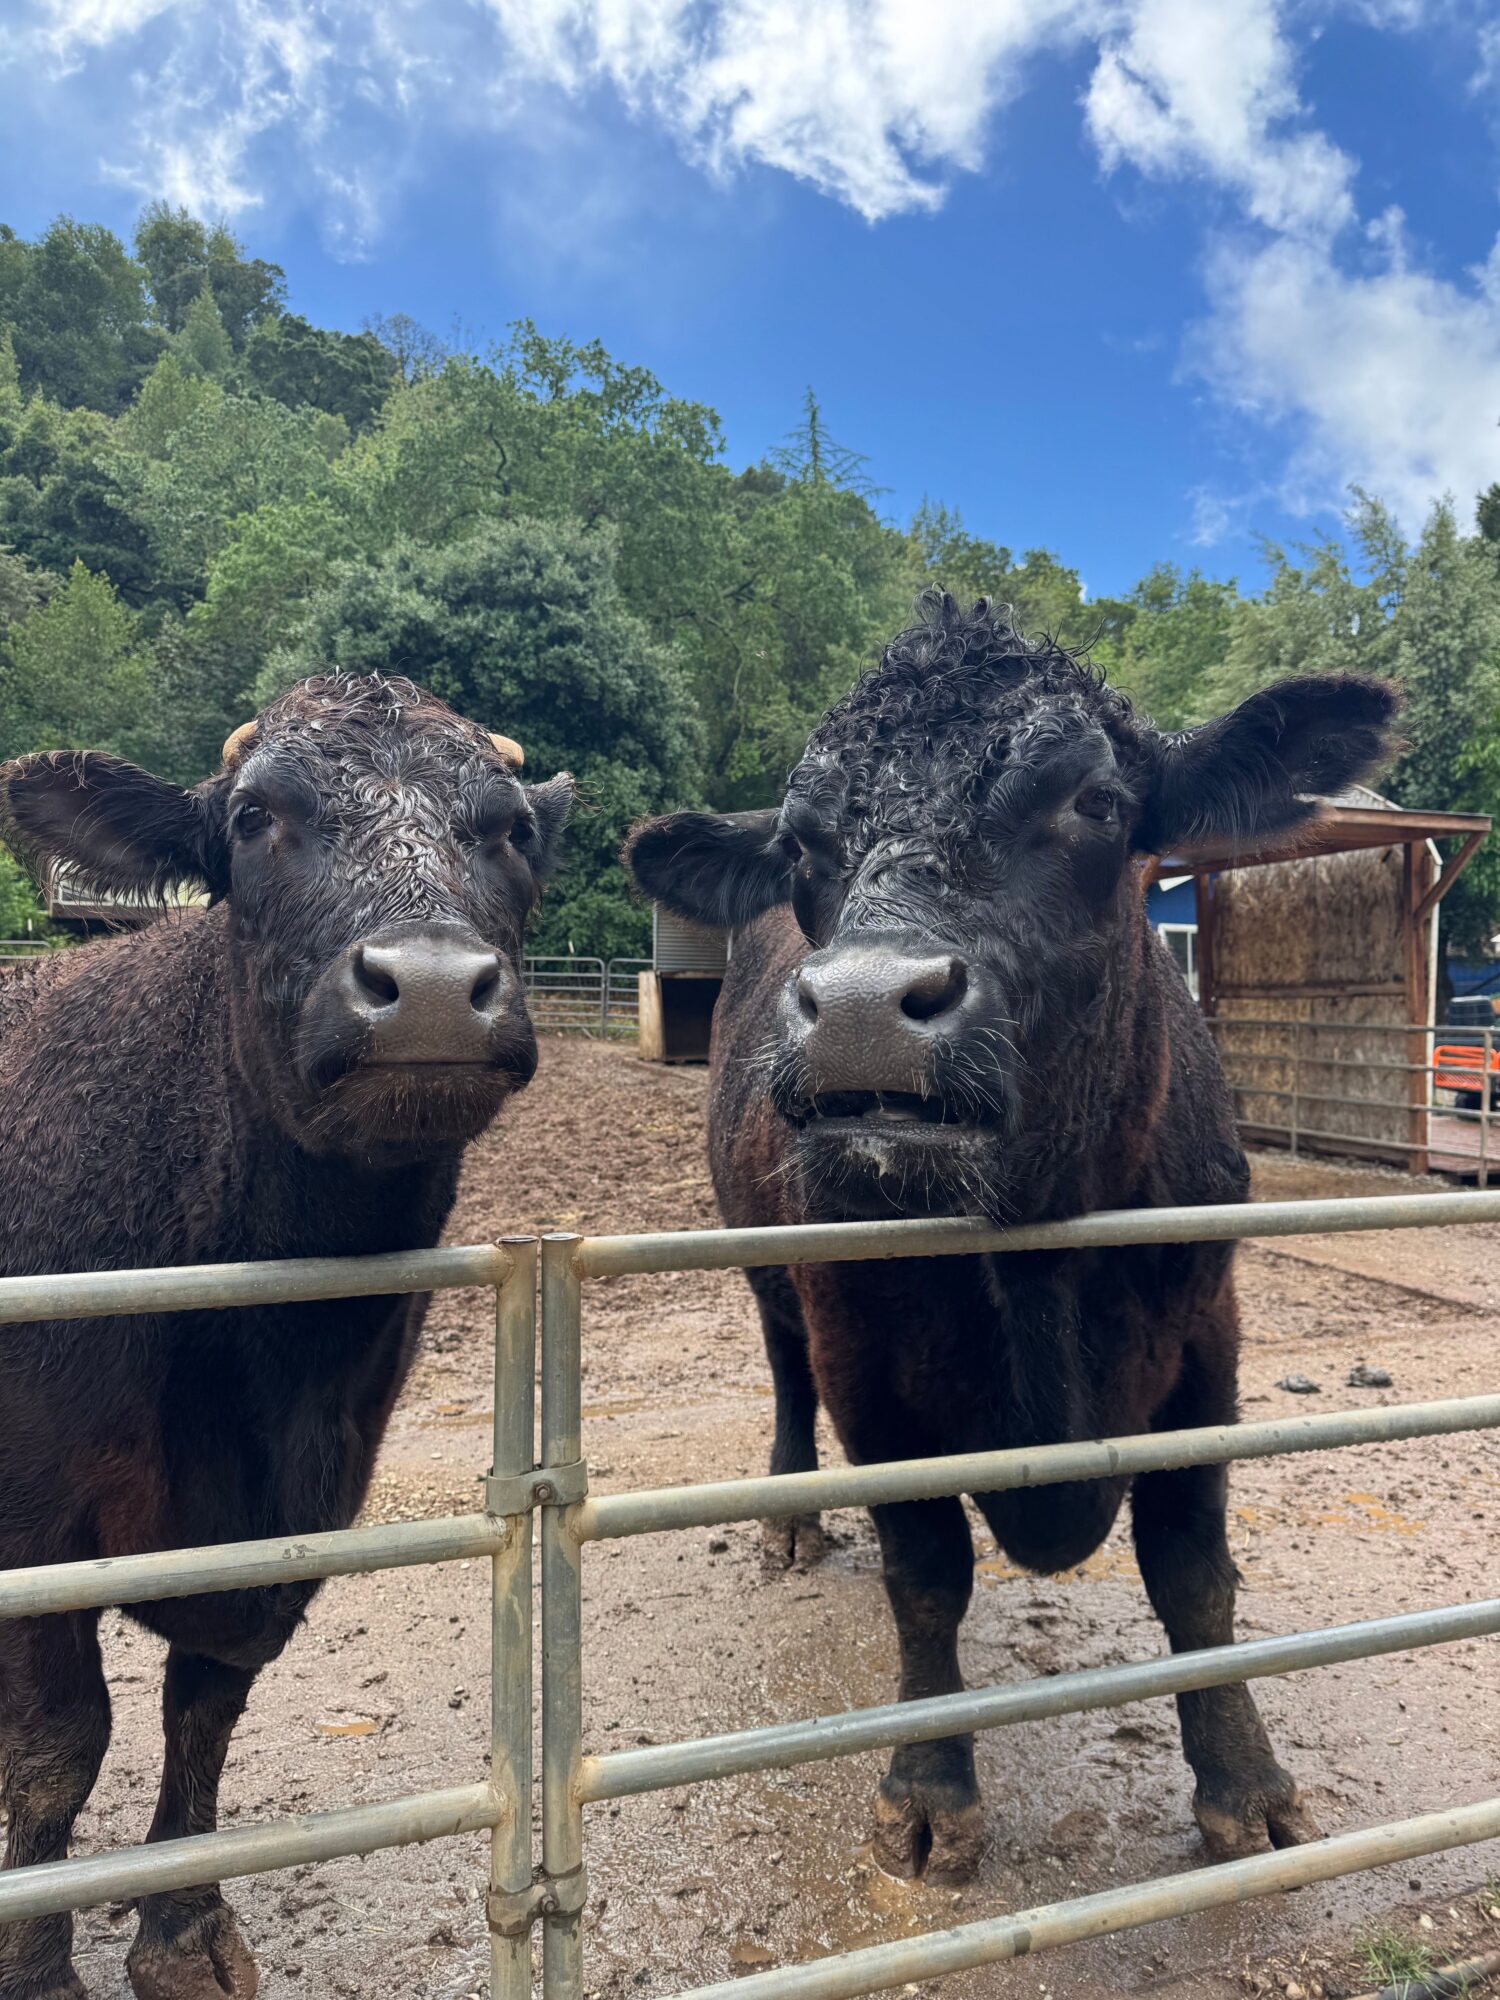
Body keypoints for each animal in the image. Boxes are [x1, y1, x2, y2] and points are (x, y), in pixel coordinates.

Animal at [0, 674, 573, 2000]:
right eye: (256, 816)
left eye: (512, 827)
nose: (428, 985)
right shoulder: (32, 1525)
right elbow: (58, 1743)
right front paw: (39, 1965)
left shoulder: (299, 1513)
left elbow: (204, 1708)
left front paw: (184, 1930)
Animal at [627, 594, 1398, 1889]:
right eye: (801, 843)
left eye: (1096, 800)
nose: (860, 1009)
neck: (1037, 1253)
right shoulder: (862, 1359)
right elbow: (926, 1570)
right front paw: (928, 1789)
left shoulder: (1208, 1334)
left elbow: (1193, 1569)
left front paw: (1247, 1783)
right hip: (759, 1253)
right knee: (782, 1370)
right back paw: (789, 1514)